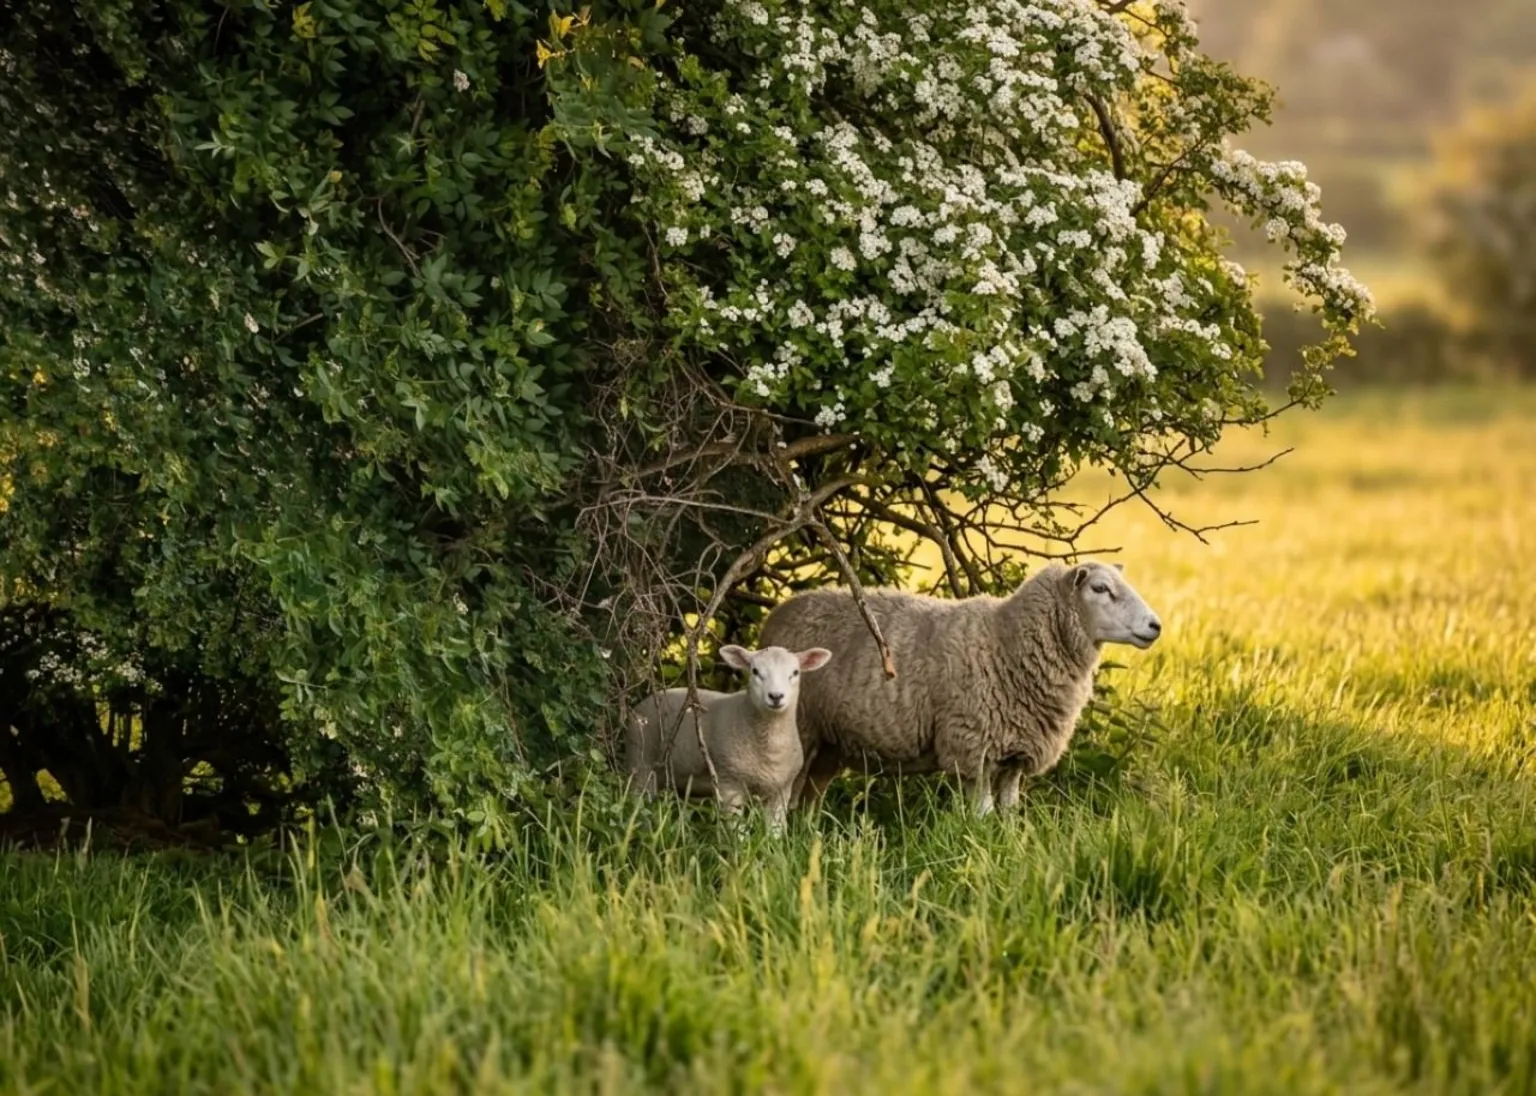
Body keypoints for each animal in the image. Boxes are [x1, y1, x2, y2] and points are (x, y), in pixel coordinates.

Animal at [624, 644, 833, 834]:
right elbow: (737, 832)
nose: (775, 696)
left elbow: (775, 832)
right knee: (639, 803)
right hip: (640, 762)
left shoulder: (781, 790)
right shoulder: (729, 783)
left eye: (795, 672)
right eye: (755, 671)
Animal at [757, 560, 1162, 817]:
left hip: (830, 742)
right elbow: (982, 813)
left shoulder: (1016, 753)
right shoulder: (973, 746)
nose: (1155, 625)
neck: (1006, 640)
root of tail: (777, 615)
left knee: (807, 798)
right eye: (1100, 589)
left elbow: (1009, 811)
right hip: (802, 729)